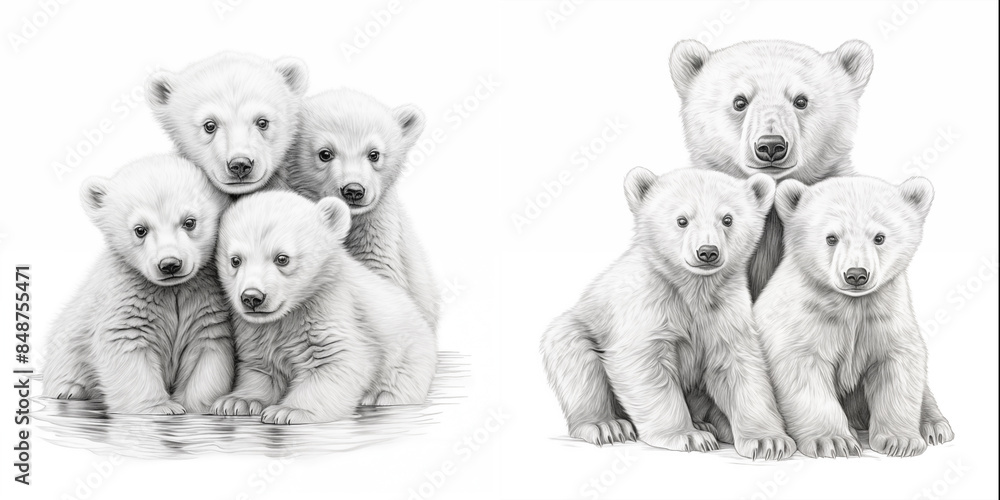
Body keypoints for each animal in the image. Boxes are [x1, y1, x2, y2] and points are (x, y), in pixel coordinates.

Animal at [43, 155, 234, 414]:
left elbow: (209, 348)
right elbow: (128, 345)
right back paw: (71, 389)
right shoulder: (127, 296)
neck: (173, 289)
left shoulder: (204, 299)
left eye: (189, 222)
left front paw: (195, 405)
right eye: (140, 229)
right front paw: (160, 407)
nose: (170, 264)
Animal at [210, 191, 437, 424]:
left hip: (406, 357)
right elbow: (261, 369)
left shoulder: (332, 309)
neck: (291, 312)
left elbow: (337, 361)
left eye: (282, 258)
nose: (252, 297)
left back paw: (379, 396)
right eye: (235, 260)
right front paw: (236, 401)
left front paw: (288, 410)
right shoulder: (258, 331)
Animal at [540, 167, 796, 460]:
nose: (707, 252)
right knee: (576, 359)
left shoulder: (725, 311)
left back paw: (710, 424)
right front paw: (688, 436)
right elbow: (645, 366)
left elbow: (742, 369)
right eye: (682, 220)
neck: (692, 290)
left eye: (727, 219)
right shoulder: (647, 306)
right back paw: (606, 425)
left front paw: (768, 441)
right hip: (579, 328)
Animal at [756, 176, 954, 458]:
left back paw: (935, 425)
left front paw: (900, 440)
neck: (851, 304)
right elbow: (804, 370)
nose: (856, 275)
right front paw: (833, 441)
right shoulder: (804, 319)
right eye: (831, 238)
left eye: (879, 237)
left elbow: (898, 365)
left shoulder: (885, 316)